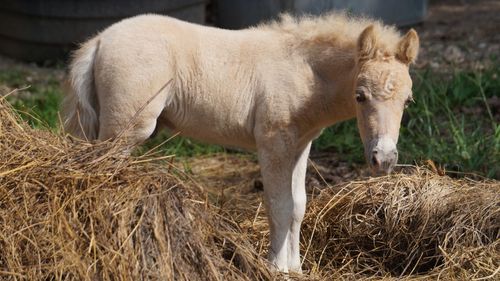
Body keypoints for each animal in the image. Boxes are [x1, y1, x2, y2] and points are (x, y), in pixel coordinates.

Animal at [64, 12, 420, 272]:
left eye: (407, 100)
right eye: (360, 96)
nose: (384, 158)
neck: (305, 72)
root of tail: (99, 40)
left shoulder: (299, 145)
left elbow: (298, 206)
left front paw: (296, 268)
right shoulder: (274, 143)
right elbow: (280, 206)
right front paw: (277, 268)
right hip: (127, 128)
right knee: (101, 173)